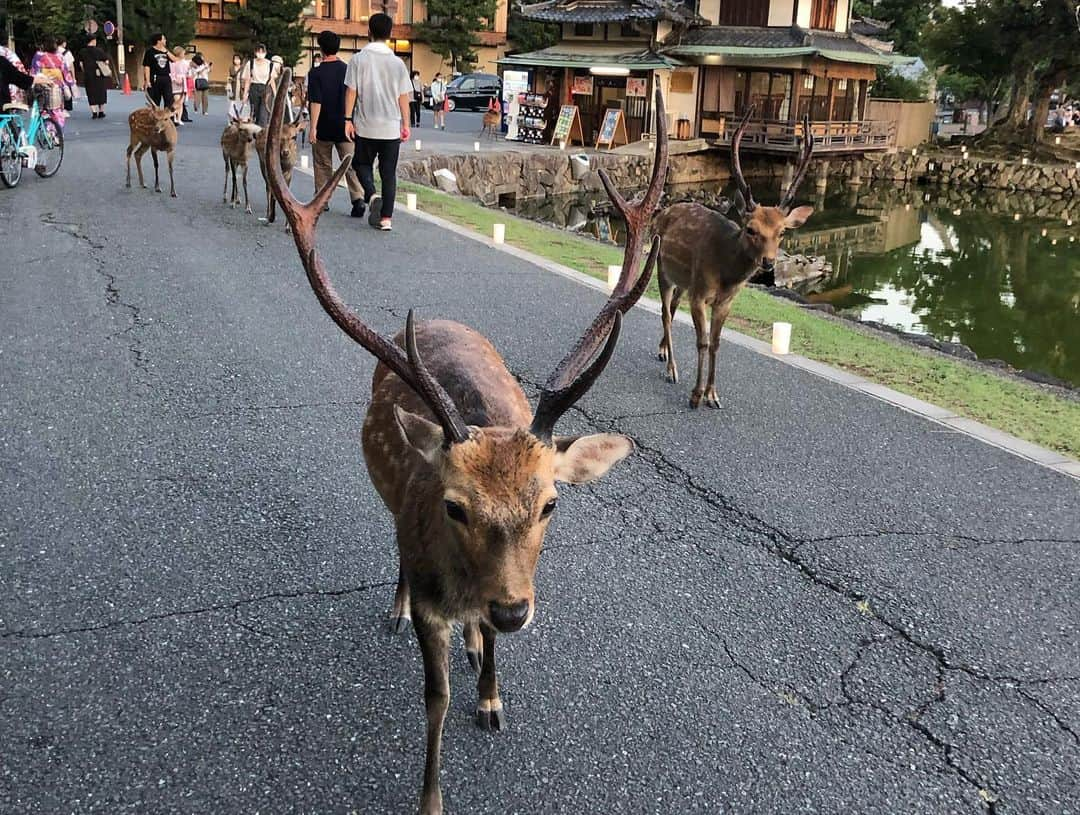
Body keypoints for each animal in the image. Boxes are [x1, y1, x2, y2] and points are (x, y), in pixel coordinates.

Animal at [262, 71, 665, 815]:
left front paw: (492, 697)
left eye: (550, 504)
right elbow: (434, 696)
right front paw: (431, 795)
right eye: (454, 506)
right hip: (392, 507)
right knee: (394, 545)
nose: (511, 609)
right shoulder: (431, 588)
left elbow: (486, 668)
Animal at [648, 106, 812, 408]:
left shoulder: (725, 301)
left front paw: (713, 394)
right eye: (751, 228)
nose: (769, 262)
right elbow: (702, 342)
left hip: (684, 281)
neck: (726, 273)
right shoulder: (700, 293)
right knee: (665, 311)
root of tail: (663, 211)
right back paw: (672, 369)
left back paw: (663, 351)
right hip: (661, 267)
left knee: (673, 308)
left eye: (782, 232)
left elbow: (716, 342)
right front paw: (696, 394)